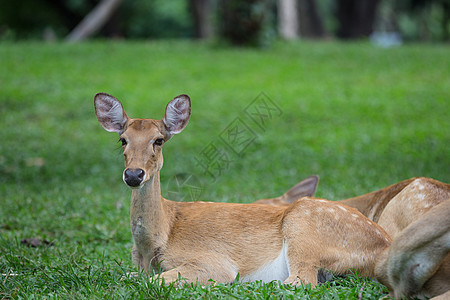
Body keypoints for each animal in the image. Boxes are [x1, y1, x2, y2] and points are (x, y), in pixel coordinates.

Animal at [93, 93, 392, 288]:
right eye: (123, 140)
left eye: (158, 140)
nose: (134, 174)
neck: (156, 242)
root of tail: (386, 247)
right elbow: (128, 276)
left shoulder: (213, 261)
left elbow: (156, 281)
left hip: (305, 228)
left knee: (299, 281)